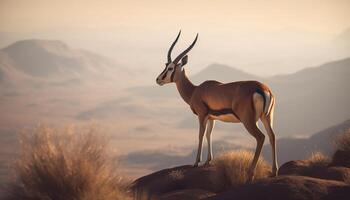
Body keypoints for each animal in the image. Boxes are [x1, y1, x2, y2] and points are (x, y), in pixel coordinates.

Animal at [156, 31, 278, 180]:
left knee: (261, 137)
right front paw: (208, 160)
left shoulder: (202, 115)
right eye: (166, 64)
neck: (195, 90)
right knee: (272, 136)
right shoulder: (212, 118)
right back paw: (274, 171)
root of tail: (262, 89)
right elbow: (209, 135)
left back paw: (250, 174)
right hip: (266, 118)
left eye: (170, 68)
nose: (158, 79)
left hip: (249, 121)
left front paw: (196, 162)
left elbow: (201, 135)